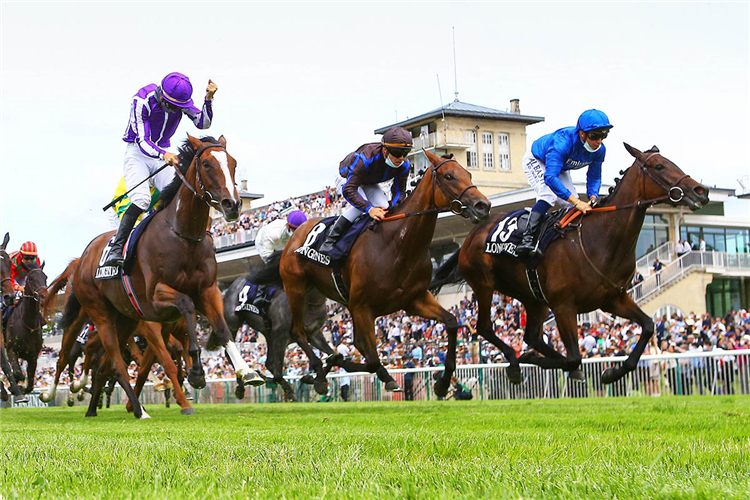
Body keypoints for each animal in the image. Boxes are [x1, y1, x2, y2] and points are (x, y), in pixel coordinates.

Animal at [4, 262, 47, 394]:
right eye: (31, 279)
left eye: (45, 277)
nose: (44, 297)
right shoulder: (11, 350)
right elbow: (18, 373)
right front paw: (14, 387)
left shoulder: (33, 356)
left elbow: (30, 385)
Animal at [64, 134, 264, 418]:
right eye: (206, 163)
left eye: (233, 163)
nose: (232, 205)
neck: (183, 236)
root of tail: (82, 258)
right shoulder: (155, 298)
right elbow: (186, 307)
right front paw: (196, 372)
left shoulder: (208, 291)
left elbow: (223, 328)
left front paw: (246, 371)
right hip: (100, 315)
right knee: (116, 361)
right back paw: (139, 410)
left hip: (125, 318)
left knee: (106, 366)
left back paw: (93, 409)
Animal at [282, 150, 494, 396]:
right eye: (449, 176)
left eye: (469, 173)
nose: (483, 205)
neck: (397, 244)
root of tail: (296, 234)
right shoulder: (363, 307)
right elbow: (373, 359)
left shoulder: (414, 299)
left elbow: (451, 322)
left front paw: (442, 382)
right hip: (296, 288)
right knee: (298, 332)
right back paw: (319, 371)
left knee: (350, 342)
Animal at [434, 143, 712, 384]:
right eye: (659, 166)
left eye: (671, 162)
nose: (701, 190)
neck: (600, 239)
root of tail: (471, 236)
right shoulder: (564, 306)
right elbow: (575, 357)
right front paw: (535, 360)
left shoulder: (613, 299)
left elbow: (648, 325)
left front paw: (614, 372)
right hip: (484, 284)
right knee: (484, 326)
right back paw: (513, 362)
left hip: (533, 297)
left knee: (531, 335)